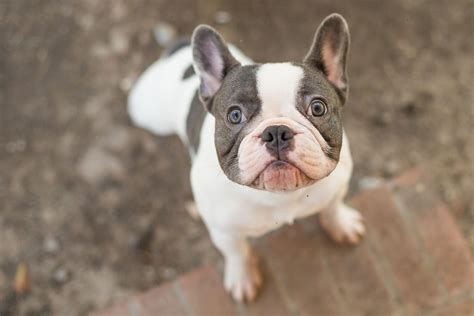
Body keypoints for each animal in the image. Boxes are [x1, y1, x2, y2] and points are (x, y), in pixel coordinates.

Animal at [128, 13, 364, 302]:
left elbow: (333, 206)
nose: (277, 131)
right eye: (234, 115)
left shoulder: (338, 185)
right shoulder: (224, 232)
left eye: (318, 108)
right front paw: (242, 278)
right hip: (146, 111)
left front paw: (341, 225)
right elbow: (237, 253)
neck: (280, 196)